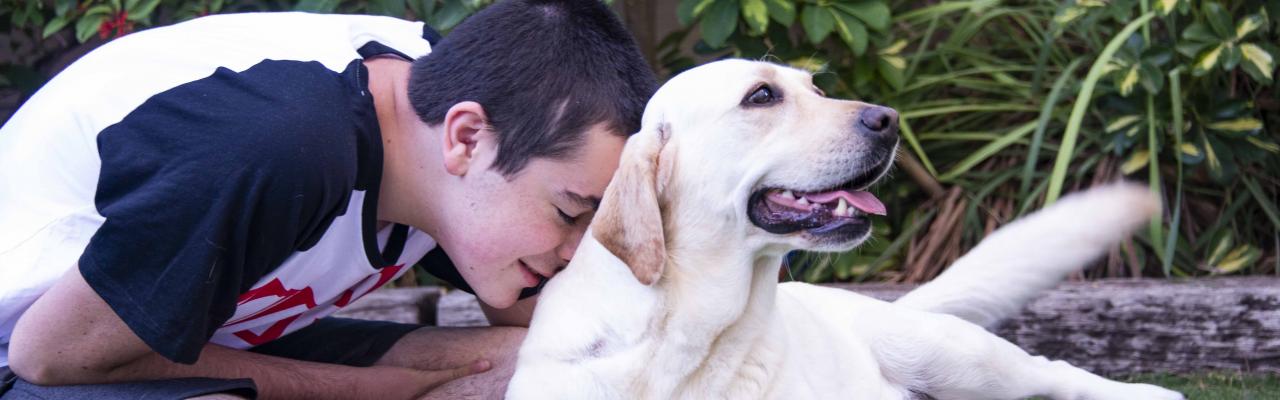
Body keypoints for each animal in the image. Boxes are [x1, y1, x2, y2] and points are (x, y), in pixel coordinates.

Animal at [504, 60, 1182, 400]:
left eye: (816, 87)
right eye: (761, 96)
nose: (890, 119)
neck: (685, 343)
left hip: (953, 355)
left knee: (1057, 373)